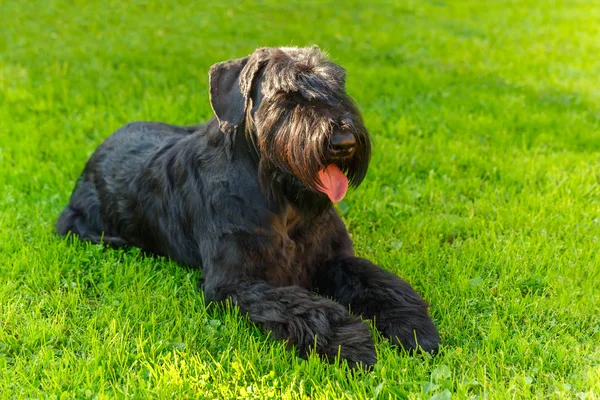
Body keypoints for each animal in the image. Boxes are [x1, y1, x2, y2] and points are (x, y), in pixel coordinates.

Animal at [57, 46, 440, 366]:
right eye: (287, 94)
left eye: (337, 85)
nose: (344, 142)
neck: (284, 204)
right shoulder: (236, 284)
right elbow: (307, 307)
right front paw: (352, 340)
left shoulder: (334, 258)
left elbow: (382, 283)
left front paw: (413, 325)